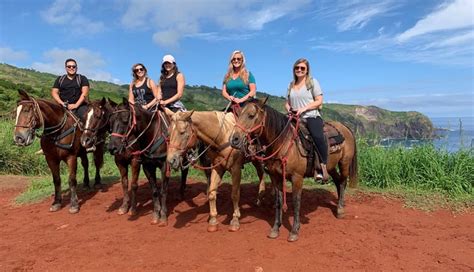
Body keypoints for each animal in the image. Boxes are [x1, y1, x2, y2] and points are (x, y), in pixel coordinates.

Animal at [229, 98, 356, 242]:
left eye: (251, 115)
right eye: (239, 114)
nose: (234, 139)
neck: (283, 143)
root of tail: (345, 128)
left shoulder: (297, 178)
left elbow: (296, 202)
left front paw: (294, 231)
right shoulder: (276, 177)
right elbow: (278, 201)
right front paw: (275, 228)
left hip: (344, 163)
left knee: (342, 182)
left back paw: (340, 209)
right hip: (331, 166)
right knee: (337, 181)